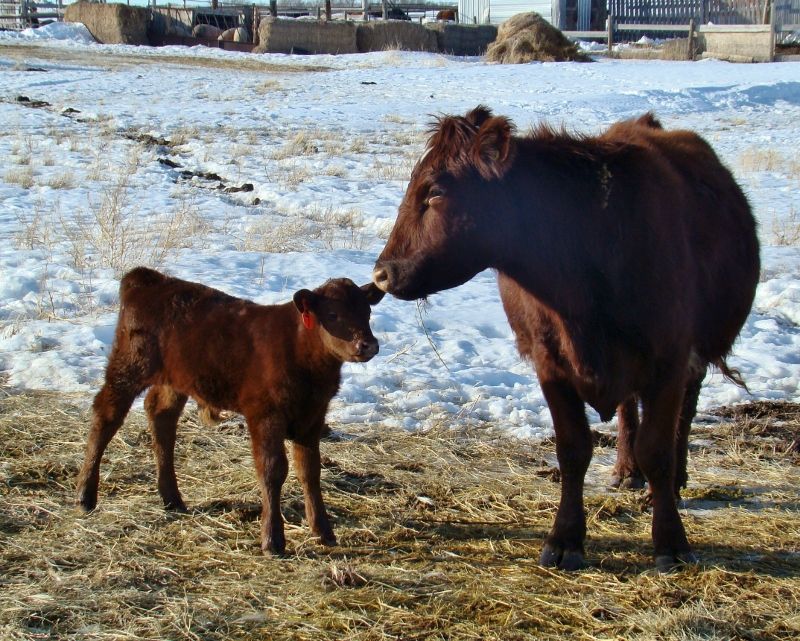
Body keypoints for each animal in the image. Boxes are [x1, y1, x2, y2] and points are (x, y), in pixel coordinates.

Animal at [77, 267, 384, 555]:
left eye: (367, 312)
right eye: (332, 314)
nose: (368, 345)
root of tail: (149, 279)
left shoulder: (312, 416)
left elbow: (309, 470)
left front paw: (323, 531)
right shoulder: (264, 414)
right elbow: (273, 470)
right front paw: (272, 540)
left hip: (174, 379)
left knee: (161, 416)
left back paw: (172, 498)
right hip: (129, 366)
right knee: (106, 414)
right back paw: (85, 495)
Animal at [372, 106, 759, 571]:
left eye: (434, 192)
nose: (381, 273)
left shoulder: (669, 357)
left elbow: (658, 450)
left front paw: (670, 541)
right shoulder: (550, 363)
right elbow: (573, 450)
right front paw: (565, 538)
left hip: (696, 353)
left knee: (685, 410)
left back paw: (674, 479)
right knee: (628, 410)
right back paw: (626, 471)